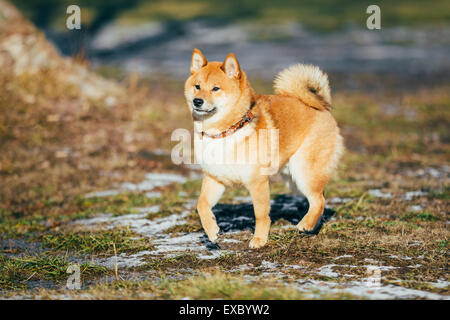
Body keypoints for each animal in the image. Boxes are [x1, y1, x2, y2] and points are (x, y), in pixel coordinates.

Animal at [185, 48, 342, 248]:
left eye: (215, 88)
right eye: (197, 86)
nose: (197, 101)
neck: (226, 131)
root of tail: (321, 106)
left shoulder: (257, 182)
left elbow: (260, 214)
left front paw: (259, 239)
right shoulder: (215, 178)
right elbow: (202, 205)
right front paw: (212, 231)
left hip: (304, 172)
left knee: (318, 200)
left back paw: (305, 224)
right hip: (293, 179)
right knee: (319, 198)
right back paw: (312, 226)